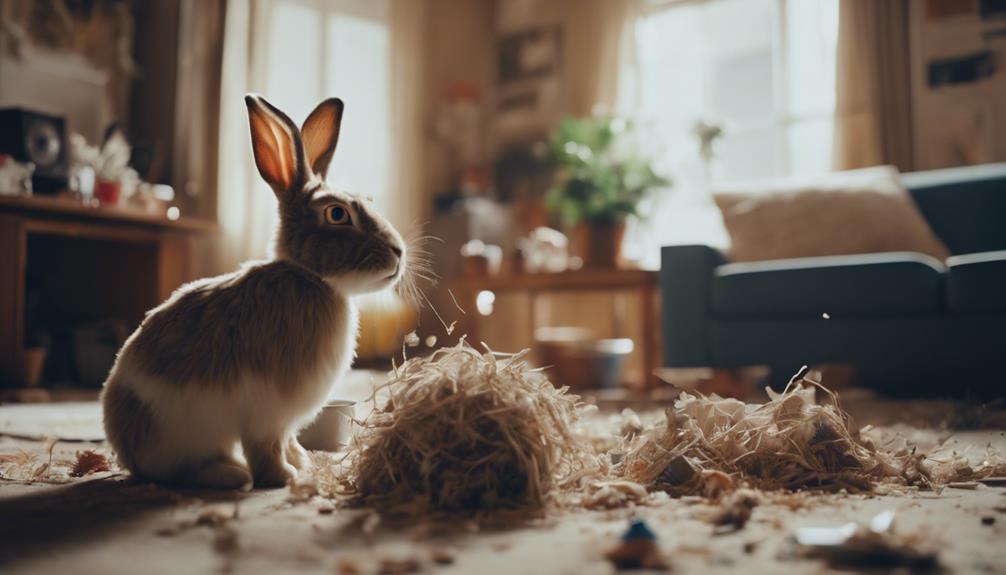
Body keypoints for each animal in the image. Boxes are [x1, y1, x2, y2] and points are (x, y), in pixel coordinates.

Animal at [101, 94, 407, 489]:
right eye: (337, 214)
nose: (399, 252)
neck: (310, 277)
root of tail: (127, 450)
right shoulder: (268, 412)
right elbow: (266, 446)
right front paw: (282, 478)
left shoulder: (285, 420)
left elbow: (289, 440)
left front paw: (303, 463)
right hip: (183, 436)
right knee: (179, 471)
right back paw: (230, 474)